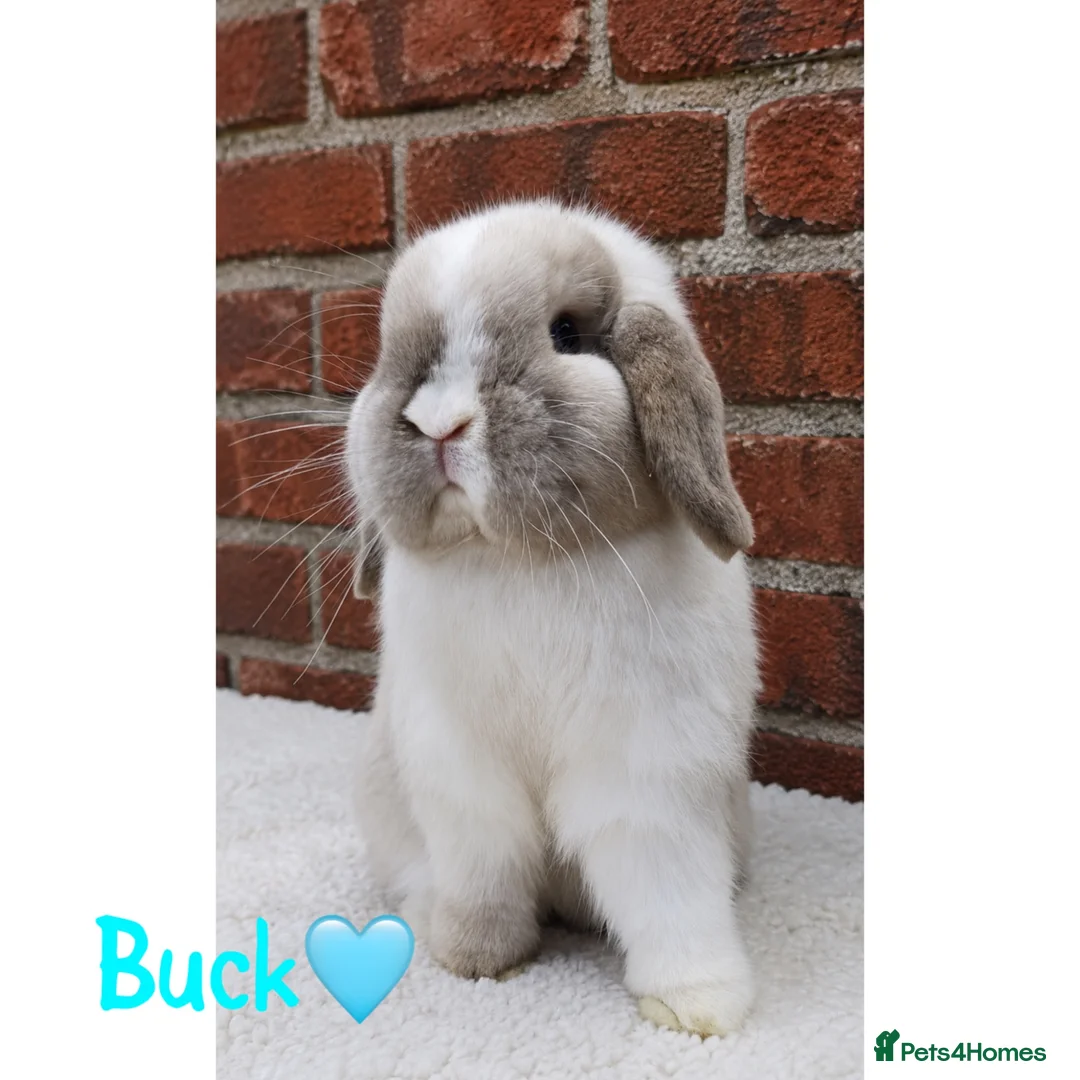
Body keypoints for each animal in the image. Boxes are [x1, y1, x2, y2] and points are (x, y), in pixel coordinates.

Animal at [343, 199, 761, 1037]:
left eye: (566, 334)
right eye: (391, 350)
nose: (438, 422)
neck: (518, 565)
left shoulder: (651, 770)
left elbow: (667, 887)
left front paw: (699, 1006)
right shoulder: (459, 770)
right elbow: (483, 866)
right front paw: (473, 957)